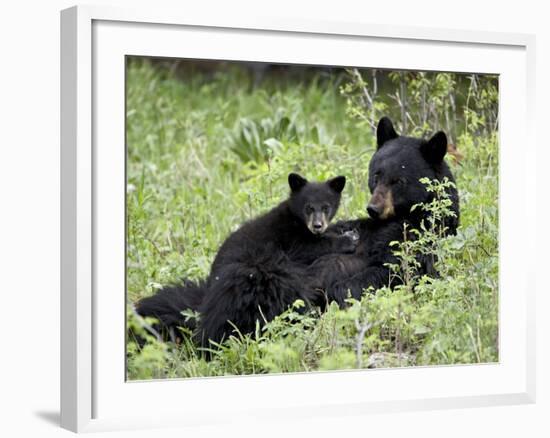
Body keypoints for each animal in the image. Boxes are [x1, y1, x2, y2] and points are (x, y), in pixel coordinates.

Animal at [137, 173, 358, 348]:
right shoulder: (290, 238)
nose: (318, 225)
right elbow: (310, 247)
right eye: (308, 208)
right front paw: (348, 239)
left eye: (326, 207)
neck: (298, 222)